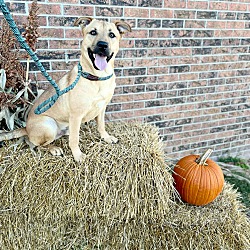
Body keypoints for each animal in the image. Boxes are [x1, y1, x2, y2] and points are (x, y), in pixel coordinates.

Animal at [0, 17, 132, 162]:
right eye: (93, 32)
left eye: (112, 35)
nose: (103, 45)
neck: (98, 78)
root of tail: (26, 128)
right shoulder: (76, 115)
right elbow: (74, 140)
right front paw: (77, 155)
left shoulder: (102, 108)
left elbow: (101, 126)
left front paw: (106, 138)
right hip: (49, 124)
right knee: (35, 144)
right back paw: (53, 148)